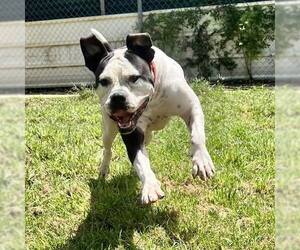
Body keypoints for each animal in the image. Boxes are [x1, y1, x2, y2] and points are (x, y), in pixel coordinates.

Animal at [81, 29, 214, 205]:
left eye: (134, 78)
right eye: (104, 81)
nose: (117, 97)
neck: (153, 98)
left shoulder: (191, 108)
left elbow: (197, 135)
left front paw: (201, 160)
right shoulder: (133, 135)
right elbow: (141, 161)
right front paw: (150, 185)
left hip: (148, 136)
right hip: (108, 129)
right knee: (108, 149)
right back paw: (104, 169)